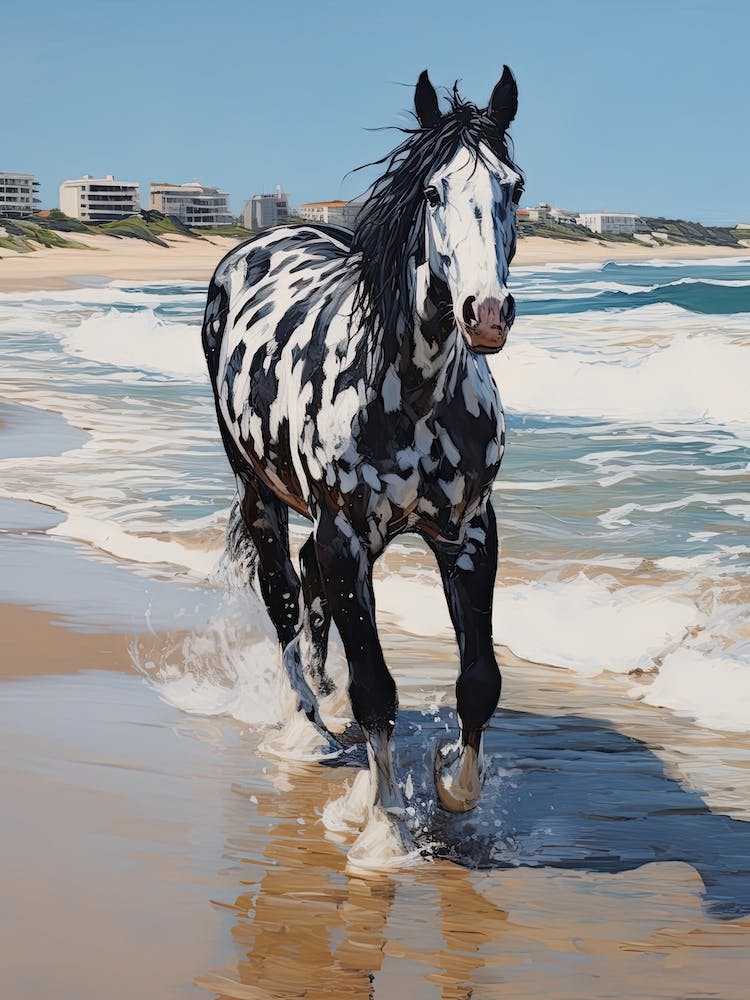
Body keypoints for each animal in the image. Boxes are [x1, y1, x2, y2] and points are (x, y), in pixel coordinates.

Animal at [201, 67, 523, 860]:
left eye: (514, 186)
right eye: (432, 192)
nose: (486, 313)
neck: (412, 393)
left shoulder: (468, 533)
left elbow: (479, 681)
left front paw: (448, 784)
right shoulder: (345, 536)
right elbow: (377, 687)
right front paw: (378, 825)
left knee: (310, 596)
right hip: (262, 494)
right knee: (285, 597)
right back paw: (307, 726)